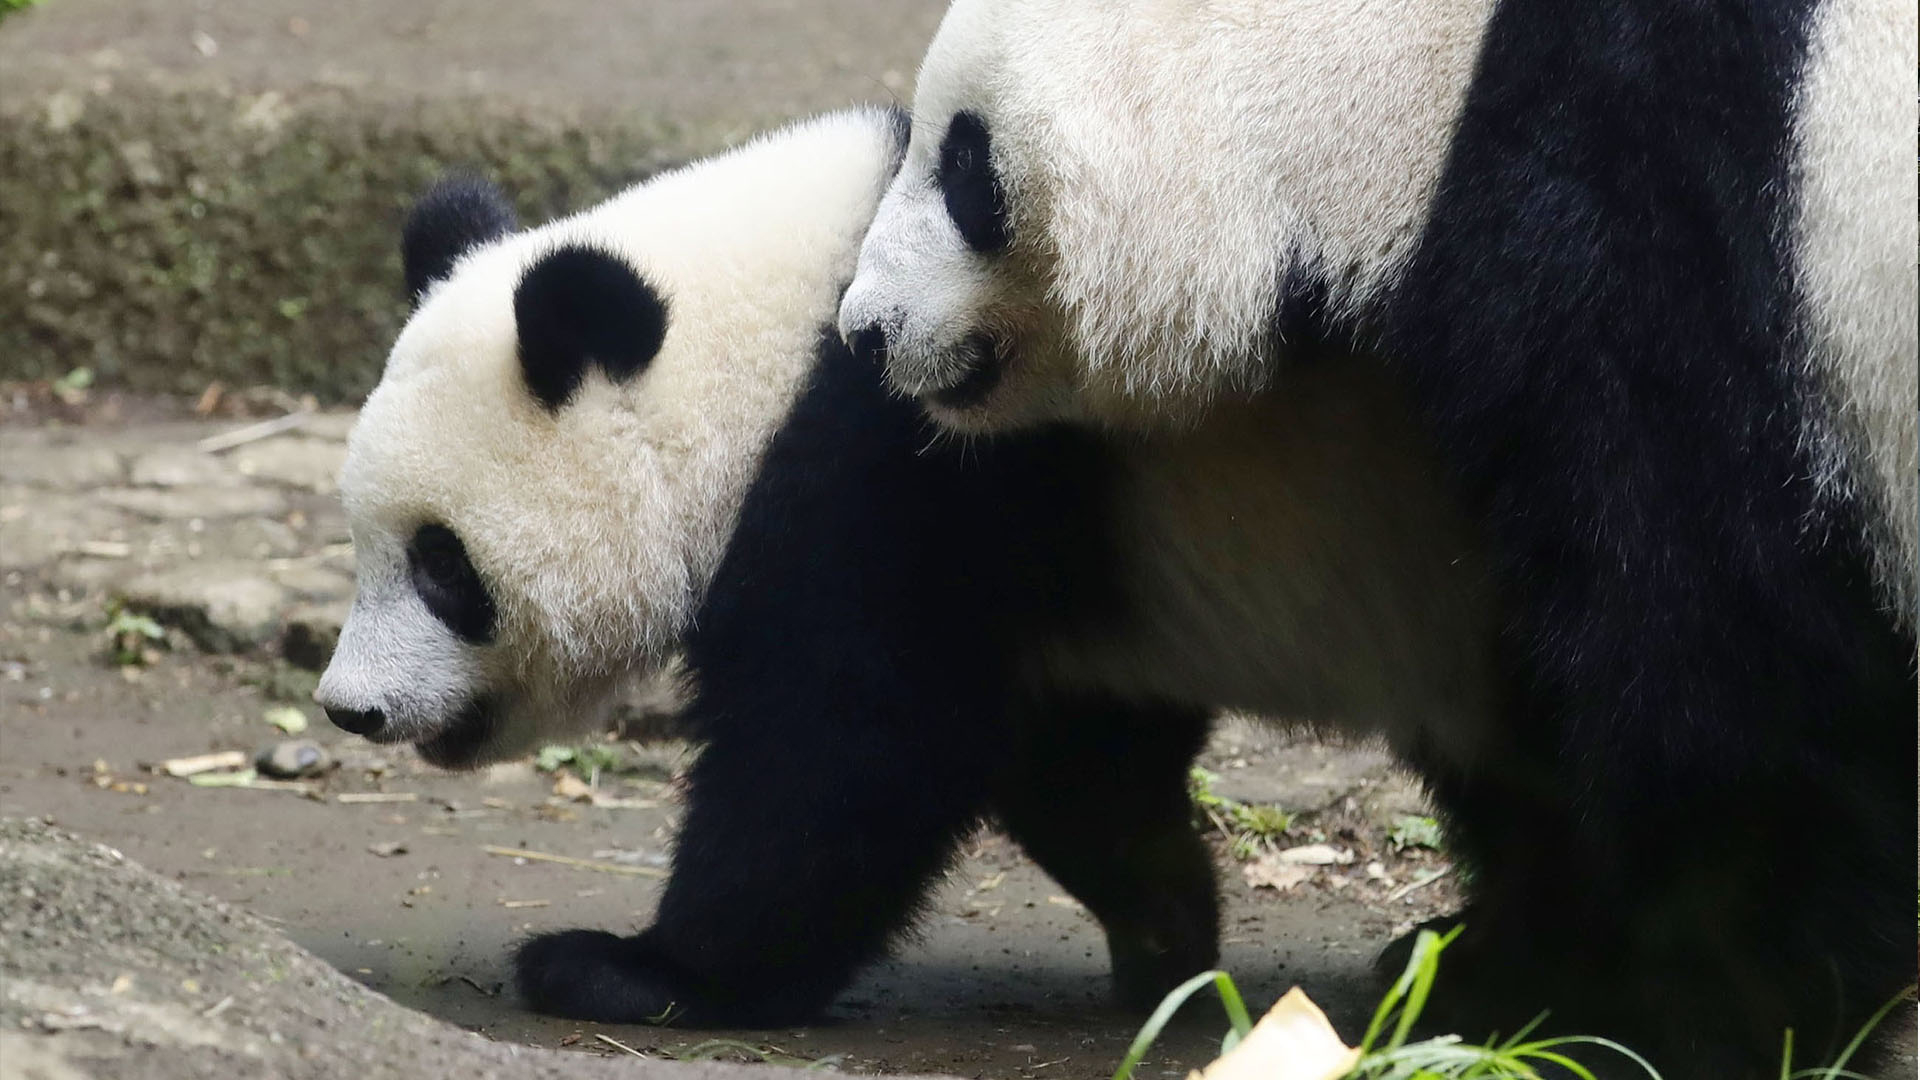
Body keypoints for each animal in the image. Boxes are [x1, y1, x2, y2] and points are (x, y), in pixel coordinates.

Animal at [840, 0, 1920, 1068]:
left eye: (967, 166)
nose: (866, 330)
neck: (1440, 54)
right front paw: (1497, 959)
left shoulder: (1673, 233)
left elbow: (1724, 672)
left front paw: (1700, 1016)